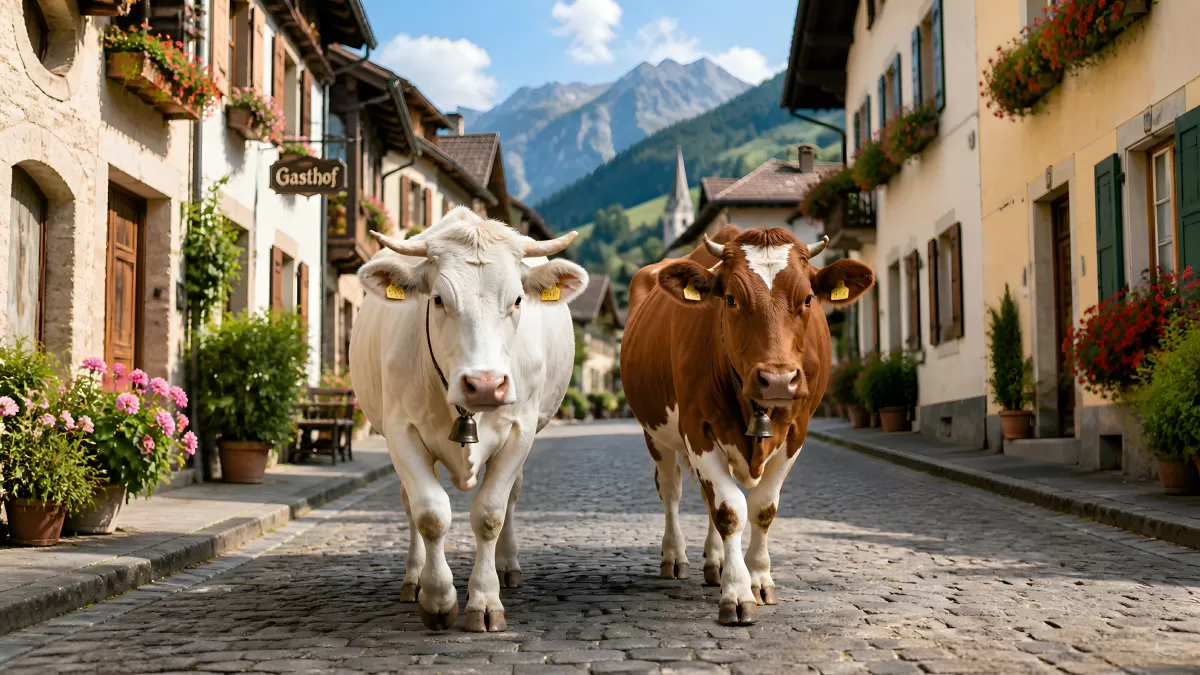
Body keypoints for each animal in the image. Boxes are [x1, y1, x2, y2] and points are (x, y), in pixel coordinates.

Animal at [350, 207, 588, 632]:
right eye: (438, 299)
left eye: (517, 300)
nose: (485, 385)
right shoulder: (401, 431)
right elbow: (430, 513)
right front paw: (438, 598)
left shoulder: (521, 431)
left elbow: (490, 514)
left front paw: (484, 600)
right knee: (409, 505)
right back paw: (414, 578)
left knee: (511, 498)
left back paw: (508, 567)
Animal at [620, 225, 874, 626]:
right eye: (730, 299)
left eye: (807, 299)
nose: (778, 380)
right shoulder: (698, 428)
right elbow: (729, 510)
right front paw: (737, 594)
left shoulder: (797, 432)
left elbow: (761, 508)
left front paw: (757, 579)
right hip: (656, 435)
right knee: (672, 491)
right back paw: (675, 557)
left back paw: (716, 563)